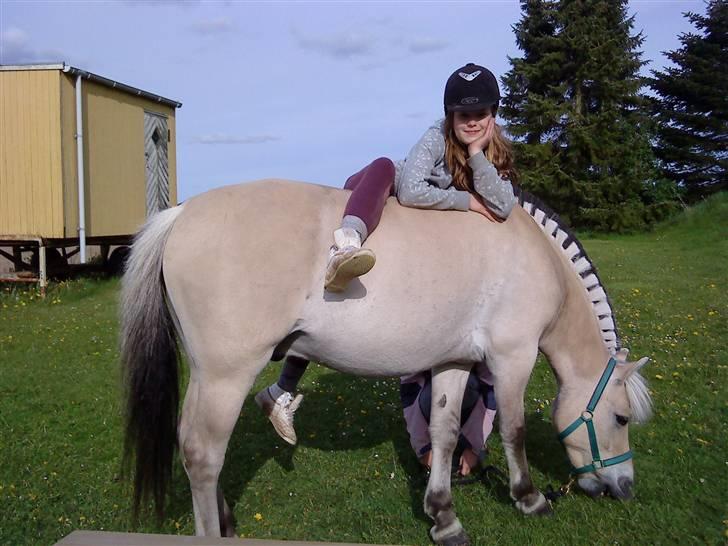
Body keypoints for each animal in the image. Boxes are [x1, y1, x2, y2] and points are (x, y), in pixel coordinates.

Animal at [120, 179, 652, 545]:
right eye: (621, 418)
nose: (625, 488)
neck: (532, 255)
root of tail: (182, 212)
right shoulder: (512, 357)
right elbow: (514, 431)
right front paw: (530, 498)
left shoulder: (454, 360)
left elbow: (444, 433)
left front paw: (443, 516)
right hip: (225, 376)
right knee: (203, 453)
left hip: (209, 376)